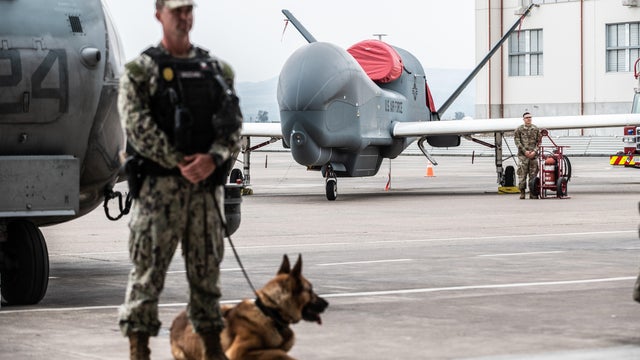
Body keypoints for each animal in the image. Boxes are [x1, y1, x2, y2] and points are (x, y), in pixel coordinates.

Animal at [170, 255, 330, 358]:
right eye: (310, 290)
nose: (327, 304)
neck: (270, 313)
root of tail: (175, 323)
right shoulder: (237, 352)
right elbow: (276, 351)